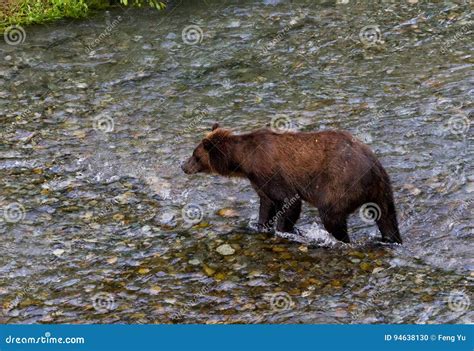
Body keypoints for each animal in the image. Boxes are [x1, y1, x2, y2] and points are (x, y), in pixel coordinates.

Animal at [181, 124, 400, 245]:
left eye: (195, 155)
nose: (183, 166)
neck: (245, 160)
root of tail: (373, 164)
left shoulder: (271, 172)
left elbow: (289, 202)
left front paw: (283, 230)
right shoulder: (259, 181)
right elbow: (266, 204)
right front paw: (260, 226)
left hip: (341, 183)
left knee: (331, 215)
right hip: (382, 189)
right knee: (387, 217)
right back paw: (391, 239)